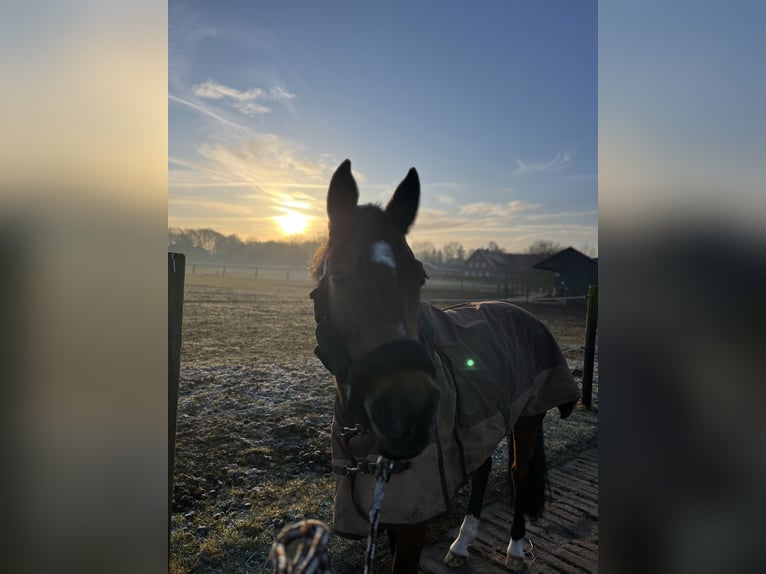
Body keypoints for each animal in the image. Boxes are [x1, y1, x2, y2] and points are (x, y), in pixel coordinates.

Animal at [309, 160, 580, 573]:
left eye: (420, 277)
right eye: (338, 274)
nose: (408, 413)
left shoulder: (412, 521)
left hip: (529, 417)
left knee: (518, 474)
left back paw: (516, 547)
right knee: (483, 468)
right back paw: (462, 543)